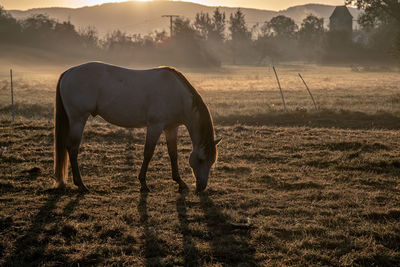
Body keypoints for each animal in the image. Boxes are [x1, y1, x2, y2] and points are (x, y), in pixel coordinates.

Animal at [53, 62, 220, 194]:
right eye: (201, 160)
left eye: (212, 162)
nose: (201, 187)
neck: (177, 95)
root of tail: (69, 72)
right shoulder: (155, 126)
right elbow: (148, 153)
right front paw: (143, 184)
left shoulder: (171, 128)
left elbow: (173, 154)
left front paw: (180, 183)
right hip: (78, 120)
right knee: (73, 149)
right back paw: (81, 185)